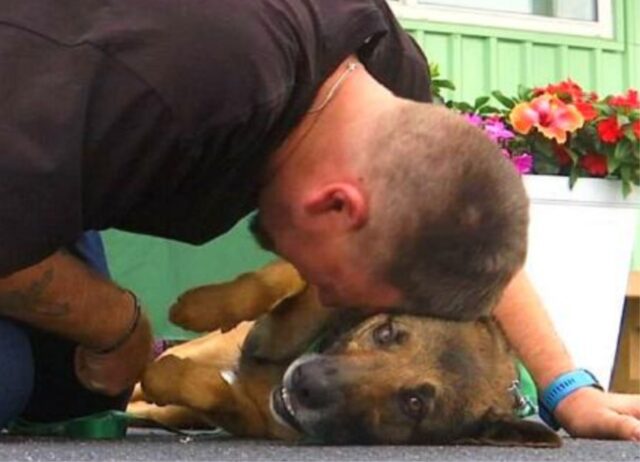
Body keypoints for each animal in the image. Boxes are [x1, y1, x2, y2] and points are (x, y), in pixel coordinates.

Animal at [129, 262, 560, 446]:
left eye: (414, 404)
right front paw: (203, 306)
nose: (303, 384)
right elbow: (279, 279)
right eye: (386, 333)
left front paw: (170, 375)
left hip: (172, 411)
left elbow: (213, 391)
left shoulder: (246, 412)